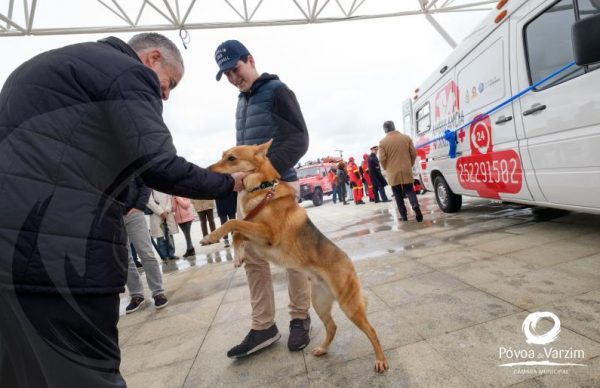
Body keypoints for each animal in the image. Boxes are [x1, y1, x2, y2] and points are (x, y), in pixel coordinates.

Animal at [202, 139, 390, 372]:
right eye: (223, 155)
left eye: (231, 158)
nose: (206, 172)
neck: (263, 189)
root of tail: (348, 260)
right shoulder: (256, 234)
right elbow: (237, 231)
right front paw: (237, 255)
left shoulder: (268, 234)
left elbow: (232, 223)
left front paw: (211, 237)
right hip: (319, 302)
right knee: (332, 327)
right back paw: (323, 349)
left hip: (349, 305)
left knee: (371, 331)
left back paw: (380, 360)